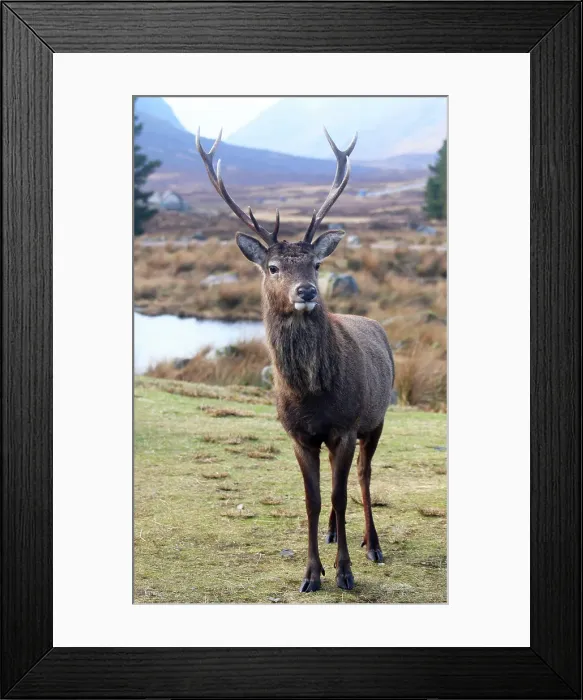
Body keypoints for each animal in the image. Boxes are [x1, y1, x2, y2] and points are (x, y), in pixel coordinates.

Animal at [196, 127, 394, 592]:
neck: (310, 394)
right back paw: (334, 535)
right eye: (272, 267)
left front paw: (344, 572)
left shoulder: (344, 426)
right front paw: (311, 573)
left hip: (376, 419)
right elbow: (313, 500)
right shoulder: (298, 435)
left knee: (364, 478)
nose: (306, 291)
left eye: (317, 263)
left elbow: (338, 495)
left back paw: (372, 546)